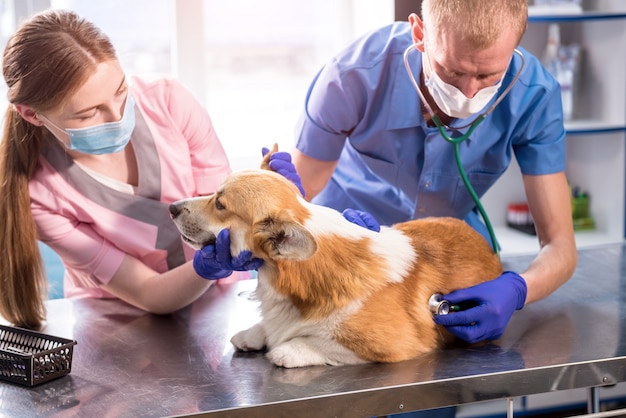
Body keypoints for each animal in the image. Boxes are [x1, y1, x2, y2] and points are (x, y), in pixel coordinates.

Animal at [168, 146, 500, 366]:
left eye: (220, 204)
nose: (171, 208)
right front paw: (256, 333)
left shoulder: (397, 345)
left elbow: (319, 342)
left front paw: (288, 349)